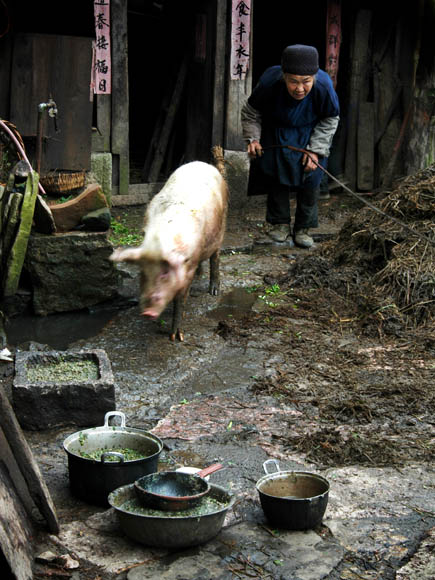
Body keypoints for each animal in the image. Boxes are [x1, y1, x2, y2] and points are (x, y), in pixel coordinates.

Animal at [110, 160, 230, 340]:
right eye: (143, 272)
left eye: (165, 273)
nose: (147, 313)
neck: (160, 242)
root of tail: (203, 163)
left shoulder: (187, 270)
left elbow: (180, 300)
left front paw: (176, 337)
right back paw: (200, 273)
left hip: (221, 228)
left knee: (215, 258)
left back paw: (214, 291)